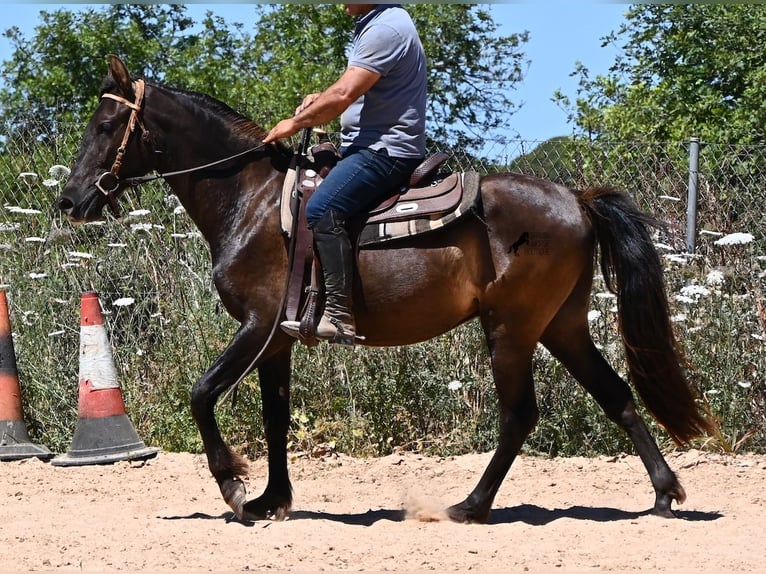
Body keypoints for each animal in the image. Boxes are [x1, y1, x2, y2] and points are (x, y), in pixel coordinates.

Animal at [58, 55, 712, 523]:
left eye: (106, 125)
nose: (71, 201)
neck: (252, 201)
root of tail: (576, 199)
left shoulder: (257, 325)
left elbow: (201, 394)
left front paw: (234, 487)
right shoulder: (276, 339)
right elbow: (276, 415)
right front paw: (272, 499)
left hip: (512, 328)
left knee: (520, 414)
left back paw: (468, 507)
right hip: (562, 325)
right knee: (615, 395)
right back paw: (664, 493)